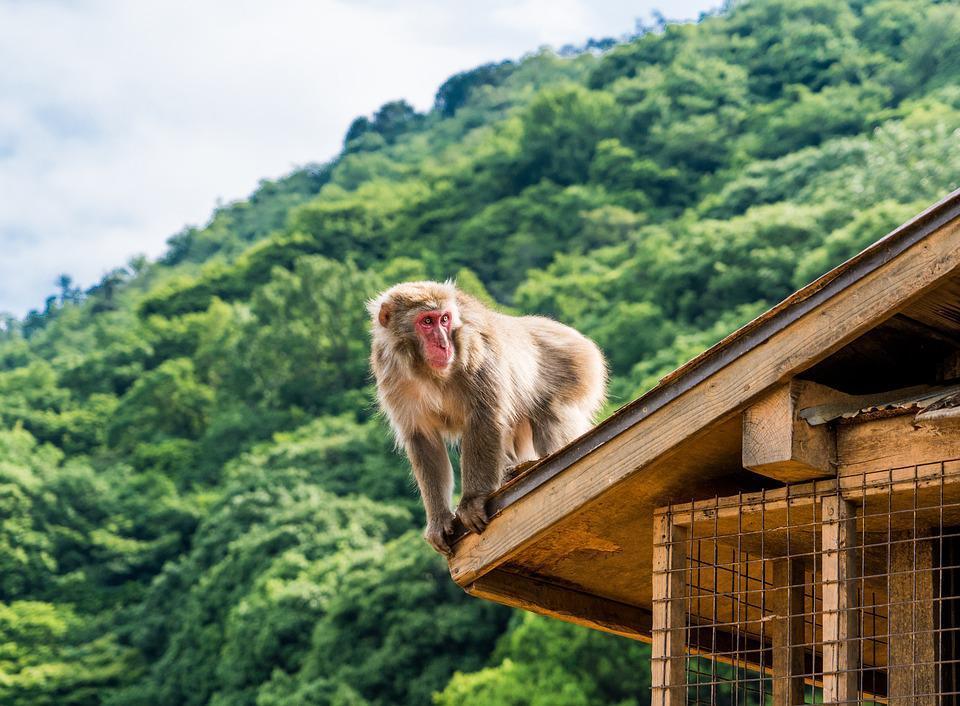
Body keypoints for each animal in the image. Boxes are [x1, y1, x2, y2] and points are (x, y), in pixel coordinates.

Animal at [368, 280, 608, 556]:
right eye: (427, 321)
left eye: (445, 319)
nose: (444, 344)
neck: (428, 372)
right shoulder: (392, 375)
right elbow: (423, 440)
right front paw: (438, 519)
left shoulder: (476, 352)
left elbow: (484, 417)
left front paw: (472, 501)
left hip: (579, 369)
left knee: (551, 415)